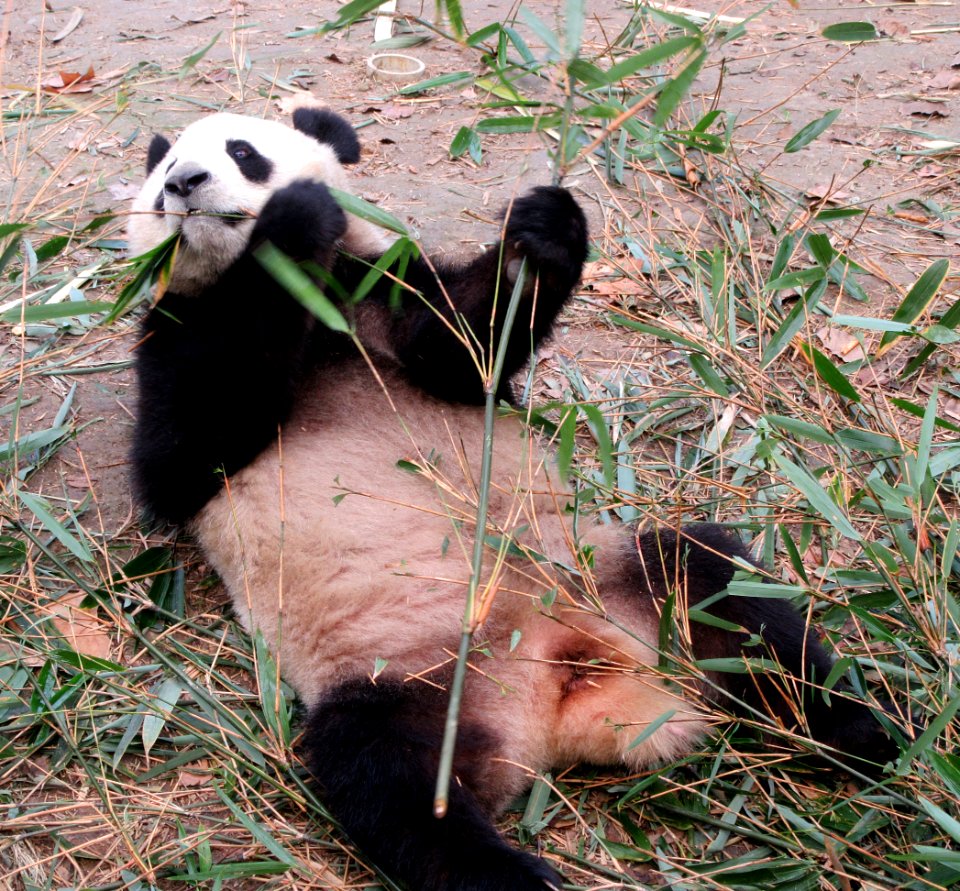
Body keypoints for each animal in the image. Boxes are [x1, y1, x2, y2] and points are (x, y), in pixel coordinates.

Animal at [129, 106, 900, 891]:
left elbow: (465, 345)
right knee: (392, 778)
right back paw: (514, 876)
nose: (185, 184)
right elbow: (186, 447)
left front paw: (544, 226)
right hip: (399, 677)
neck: (321, 294)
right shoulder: (176, 332)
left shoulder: (386, 289)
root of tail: (565, 690)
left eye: (242, 152)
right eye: (161, 182)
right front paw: (290, 225)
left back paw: (862, 733)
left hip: (610, 572)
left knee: (726, 594)